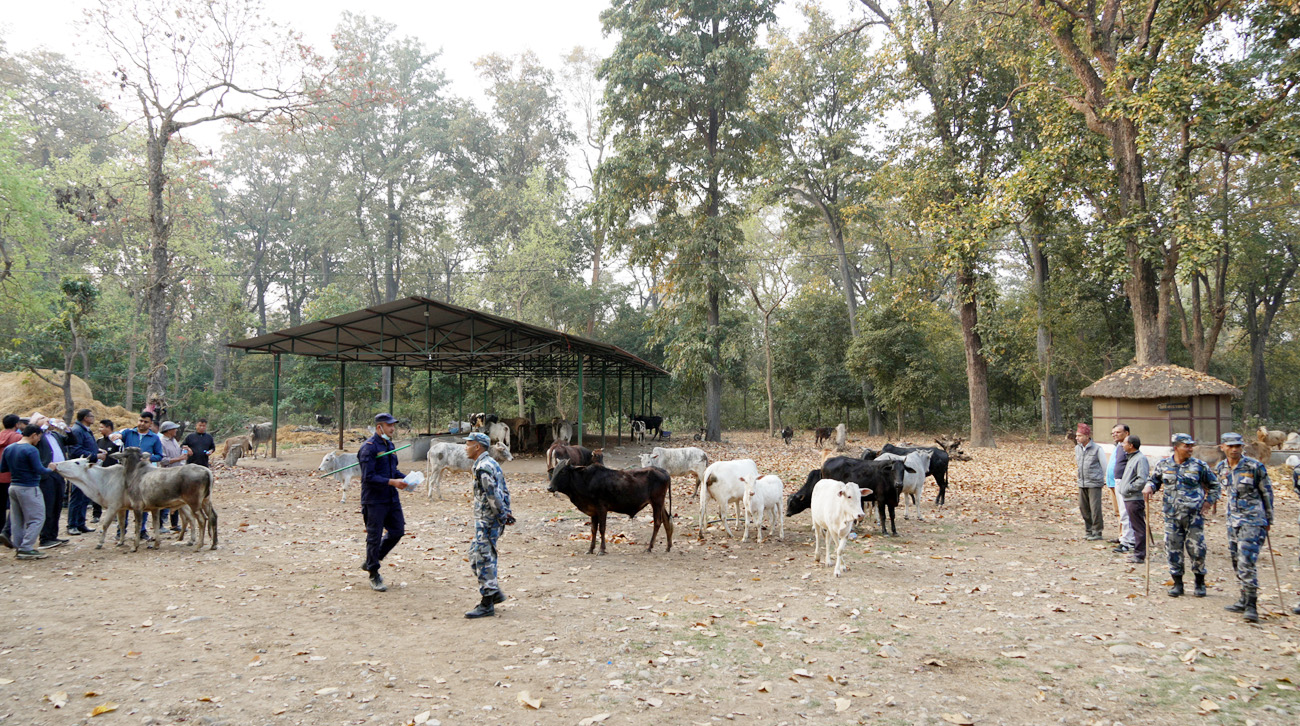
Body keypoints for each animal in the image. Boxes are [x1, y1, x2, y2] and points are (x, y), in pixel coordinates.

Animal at [543, 463, 676, 554]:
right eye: (554, 471)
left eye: (563, 471)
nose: (549, 488)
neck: (586, 480)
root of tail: (664, 471)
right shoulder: (593, 511)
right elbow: (593, 530)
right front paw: (590, 549)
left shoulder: (602, 508)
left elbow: (602, 529)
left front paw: (602, 550)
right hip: (660, 503)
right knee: (666, 520)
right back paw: (668, 547)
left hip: (657, 502)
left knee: (657, 522)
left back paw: (649, 547)